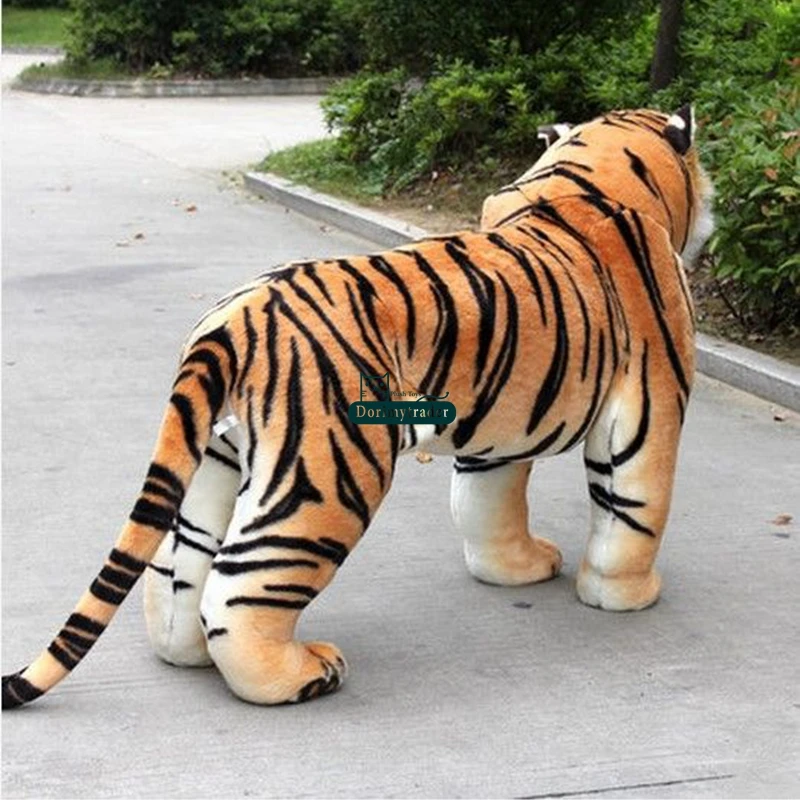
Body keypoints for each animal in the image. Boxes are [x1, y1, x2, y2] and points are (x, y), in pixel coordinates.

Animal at [2, 105, 713, 709]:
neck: (582, 175)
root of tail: (231, 320)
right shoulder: (650, 403)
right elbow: (636, 509)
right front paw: (624, 595)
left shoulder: (501, 425)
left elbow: (489, 504)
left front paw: (514, 570)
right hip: (328, 477)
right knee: (239, 590)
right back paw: (301, 675)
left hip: (215, 459)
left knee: (180, 569)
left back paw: (188, 654)